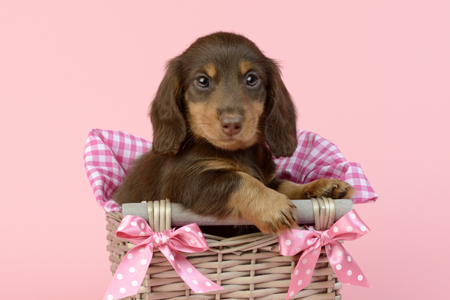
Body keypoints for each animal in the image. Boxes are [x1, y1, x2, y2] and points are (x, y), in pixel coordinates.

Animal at [111, 32, 352, 234]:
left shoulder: (269, 179)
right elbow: (237, 179)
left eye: (251, 79)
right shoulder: (188, 182)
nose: (232, 124)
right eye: (202, 80)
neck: (235, 152)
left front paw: (321, 187)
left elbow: (286, 185)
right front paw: (272, 205)